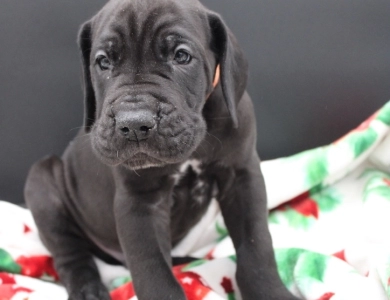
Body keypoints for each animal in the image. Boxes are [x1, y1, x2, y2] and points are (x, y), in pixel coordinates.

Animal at [25, 0, 298, 300]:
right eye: (103, 62)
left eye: (181, 56)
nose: (133, 124)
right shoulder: (140, 200)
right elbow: (153, 270)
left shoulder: (242, 177)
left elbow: (256, 244)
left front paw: (270, 291)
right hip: (41, 182)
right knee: (70, 254)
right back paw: (88, 289)